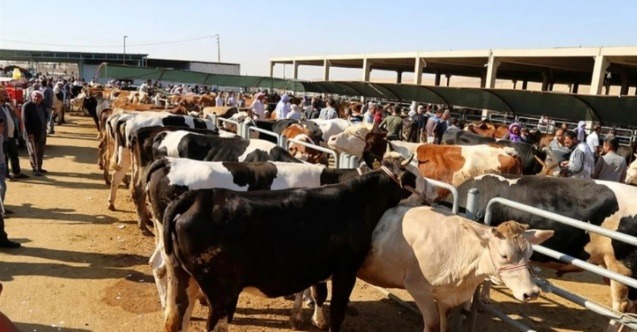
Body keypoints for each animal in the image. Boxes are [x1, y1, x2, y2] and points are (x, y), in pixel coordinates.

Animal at [161, 158, 414, 332]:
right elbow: (337, 311)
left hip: (181, 277)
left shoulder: (320, 267)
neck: (355, 201)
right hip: (222, 292)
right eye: (414, 177)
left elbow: (319, 293)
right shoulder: (346, 270)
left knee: (177, 318)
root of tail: (199, 197)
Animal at [358, 205, 552, 332]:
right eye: (504, 256)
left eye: (530, 254)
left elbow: (446, 325)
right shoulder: (418, 288)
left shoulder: (449, 297)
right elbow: (433, 323)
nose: (532, 292)